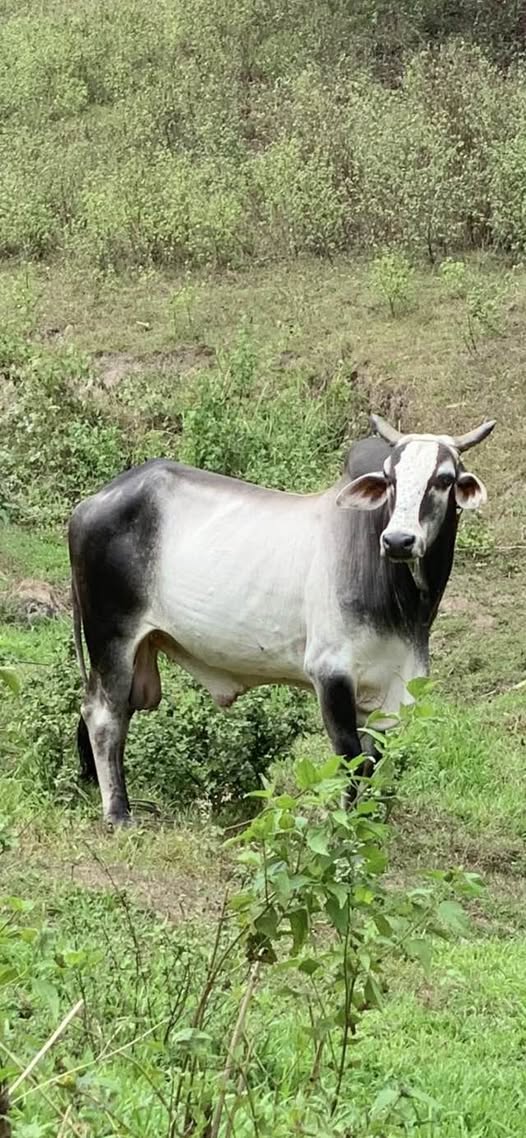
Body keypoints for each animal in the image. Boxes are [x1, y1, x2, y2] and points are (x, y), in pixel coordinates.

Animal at [68, 414, 495, 826]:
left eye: (444, 480)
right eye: (390, 478)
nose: (398, 541)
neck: (405, 602)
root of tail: (88, 505)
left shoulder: (385, 688)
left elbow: (369, 762)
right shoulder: (331, 672)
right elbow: (348, 757)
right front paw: (342, 829)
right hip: (112, 636)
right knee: (104, 714)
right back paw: (118, 814)